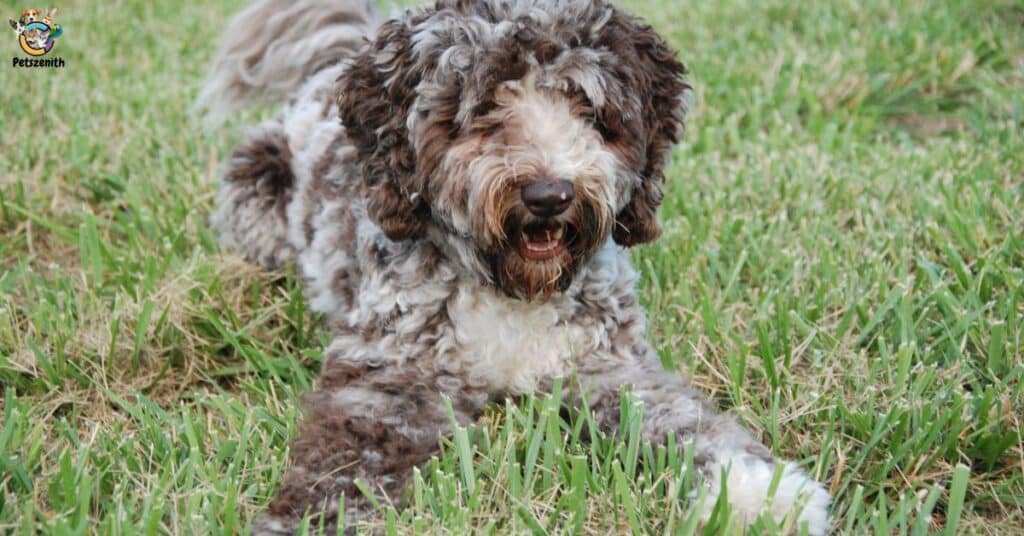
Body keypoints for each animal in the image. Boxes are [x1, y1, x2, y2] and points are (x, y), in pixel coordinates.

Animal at [197, 1, 831, 536]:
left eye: (586, 106)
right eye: (482, 107)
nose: (549, 194)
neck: (509, 289)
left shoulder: (610, 367)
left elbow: (687, 422)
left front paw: (760, 494)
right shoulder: (388, 377)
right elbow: (344, 466)